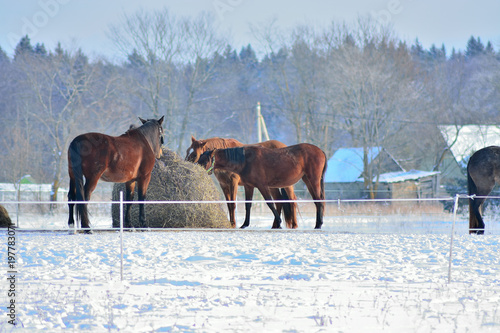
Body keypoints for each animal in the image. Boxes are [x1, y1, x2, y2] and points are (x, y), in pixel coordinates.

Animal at [199, 144, 328, 230]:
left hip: (313, 180)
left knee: (319, 200)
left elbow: (270, 203)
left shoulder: (262, 186)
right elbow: (248, 205)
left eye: (205, 161)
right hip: (307, 180)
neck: (246, 160)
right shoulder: (249, 186)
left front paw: (279, 222)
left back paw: (318, 224)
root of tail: (320, 151)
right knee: (316, 201)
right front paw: (244, 224)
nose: (197, 170)